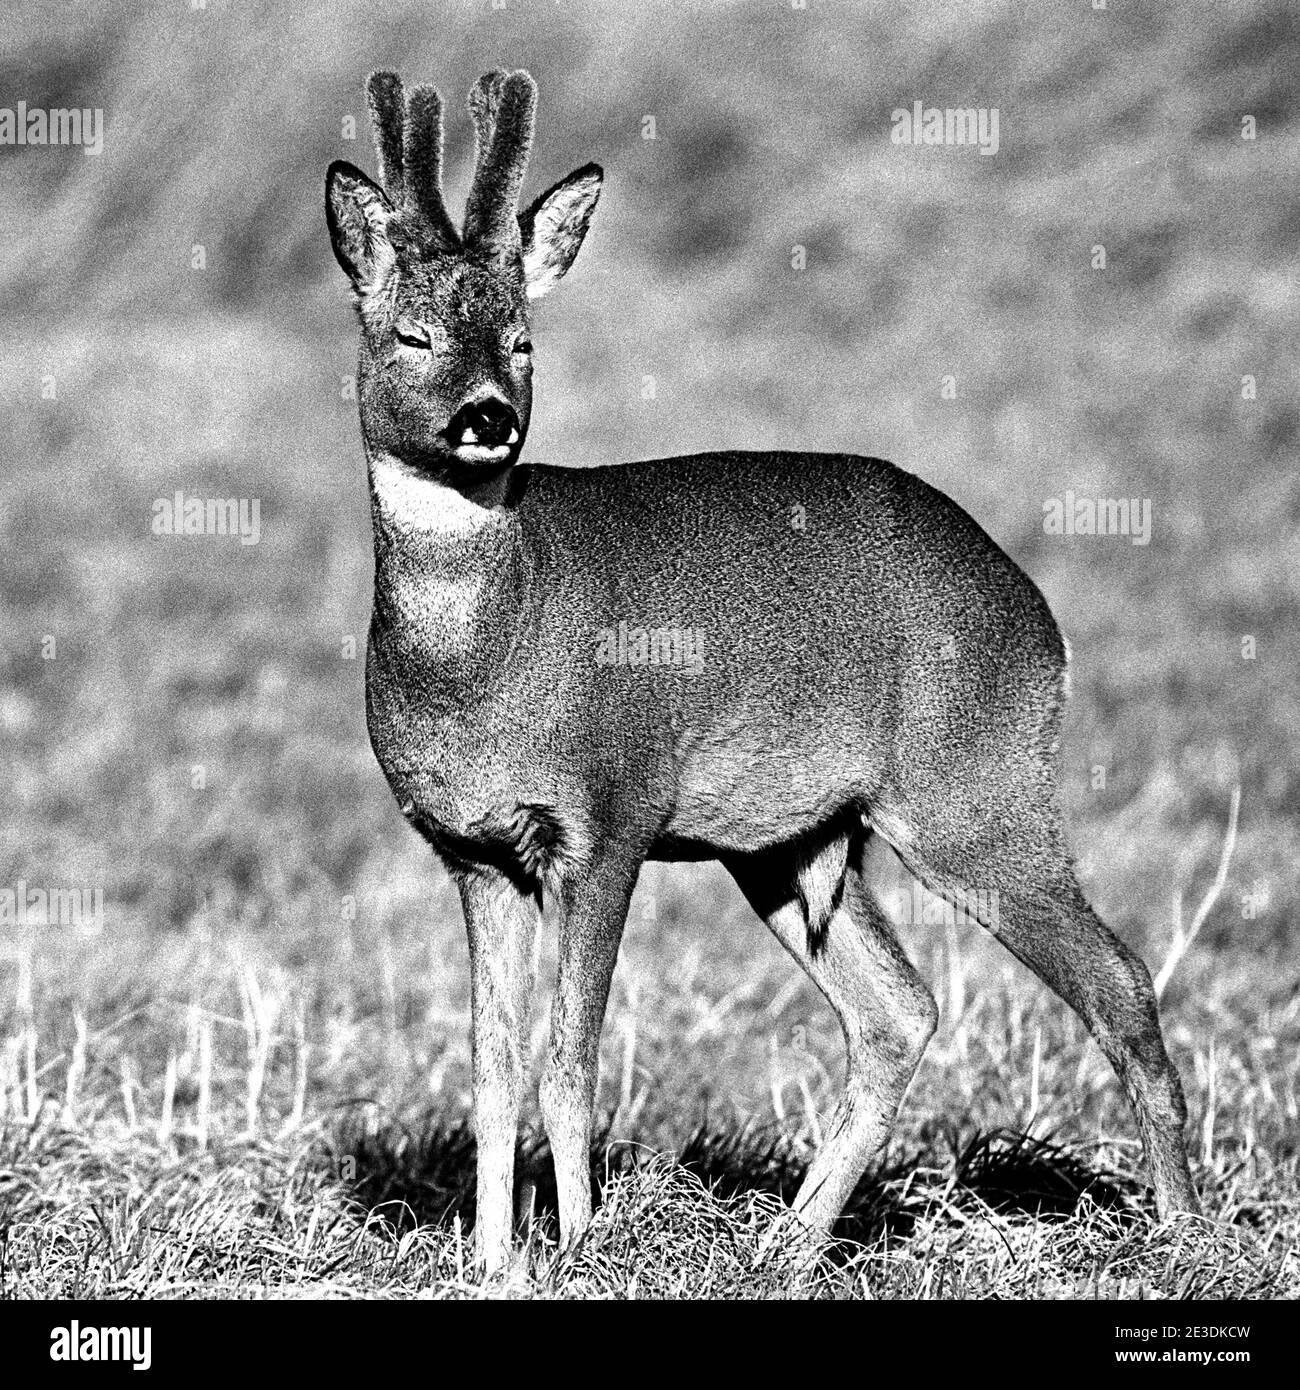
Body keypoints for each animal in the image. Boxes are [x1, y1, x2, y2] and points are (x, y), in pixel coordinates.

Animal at [325, 73, 1201, 1273]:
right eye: (410, 335)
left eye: (521, 341)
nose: (487, 418)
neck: (489, 649)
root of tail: (1039, 616)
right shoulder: (475, 852)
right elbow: (492, 1069)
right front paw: (495, 1262)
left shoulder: (613, 810)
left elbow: (567, 1061)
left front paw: (585, 1246)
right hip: (792, 841)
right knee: (899, 1008)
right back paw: (784, 1246)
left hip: (972, 789)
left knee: (1115, 977)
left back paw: (1186, 1233)